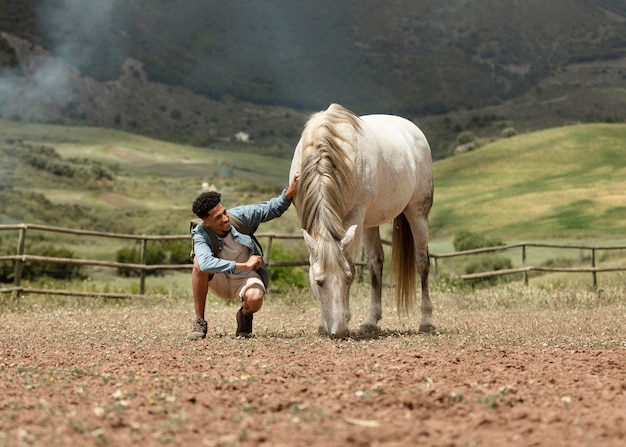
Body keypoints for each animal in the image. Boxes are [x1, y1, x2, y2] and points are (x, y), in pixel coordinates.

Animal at [288, 103, 432, 338]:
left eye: (348, 279)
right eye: (319, 282)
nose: (338, 331)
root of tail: (413, 130)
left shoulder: (355, 215)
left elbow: (351, 263)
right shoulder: (305, 216)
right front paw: (323, 324)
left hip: (417, 212)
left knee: (422, 262)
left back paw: (426, 321)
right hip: (369, 222)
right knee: (376, 262)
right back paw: (371, 321)